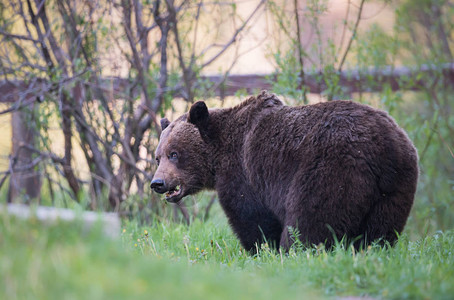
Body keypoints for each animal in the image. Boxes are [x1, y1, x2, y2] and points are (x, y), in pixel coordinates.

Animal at [152, 91, 418, 251]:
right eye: (158, 156)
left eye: (175, 153)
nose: (158, 183)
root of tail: (384, 147)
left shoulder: (244, 174)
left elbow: (251, 217)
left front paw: (261, 249)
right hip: (395, 189)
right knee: (380, 231)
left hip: (330, 170)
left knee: (310, 219)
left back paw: (295, 251)